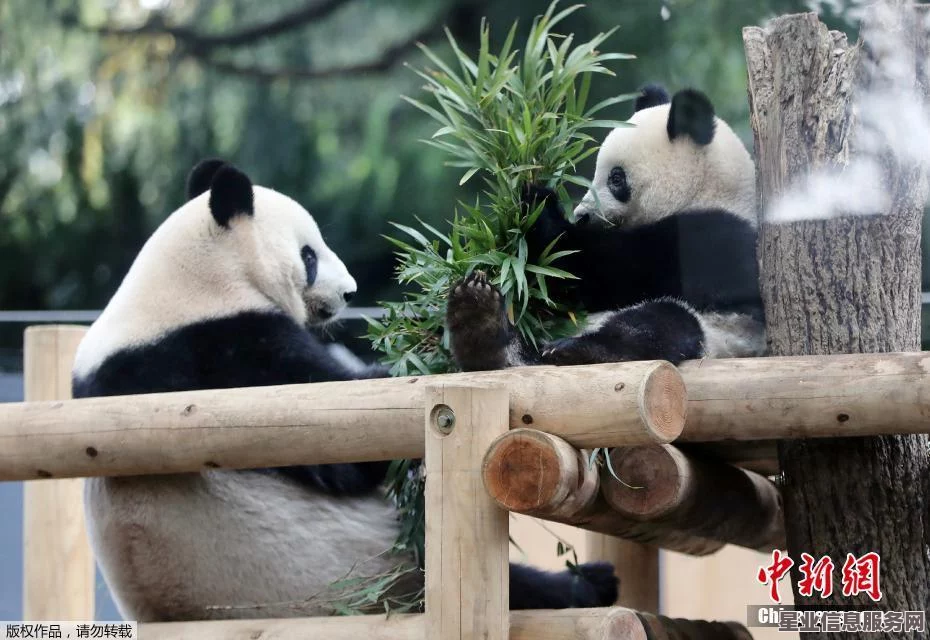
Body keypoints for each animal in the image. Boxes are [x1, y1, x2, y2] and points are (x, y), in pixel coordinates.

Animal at [70, 156, 616, 620]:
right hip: (372, 571)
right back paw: (588, 585)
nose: (351, 291)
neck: (190, 285)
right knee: (506, 586)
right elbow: (346, 442)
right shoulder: (226, 353)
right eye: (309, 255)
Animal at [444, 87, 760, 372]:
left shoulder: (708, 235)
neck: (709, 193)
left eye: (616, 178)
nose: (582, 216)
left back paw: (576, 350)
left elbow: (606, 270)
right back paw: (480, 323)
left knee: (657, 323)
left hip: (723, 333)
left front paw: (538, 206)